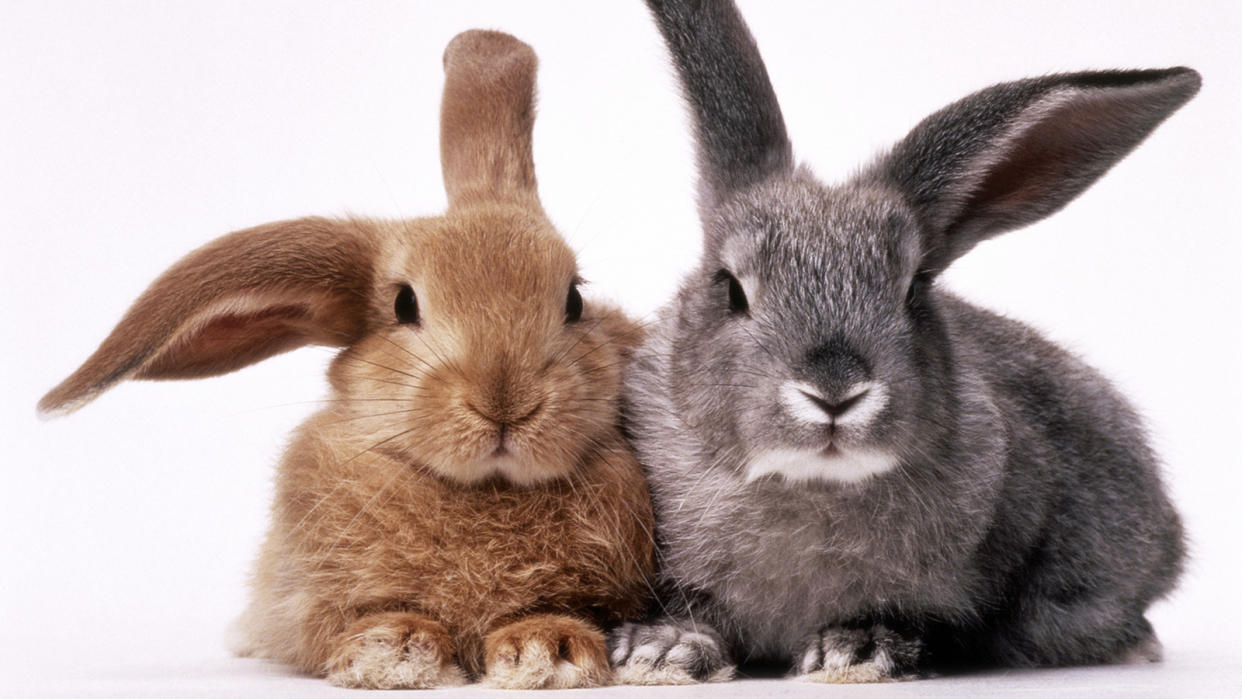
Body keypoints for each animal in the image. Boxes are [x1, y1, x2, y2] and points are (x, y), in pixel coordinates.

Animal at [37, 30, 655, 690]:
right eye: (405, 304)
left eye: (574, 300)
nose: (505, 401)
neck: (485, 491)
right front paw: (393, 648)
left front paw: (549, 648)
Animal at [608, 0, 1192, 685]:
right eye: (731, 288)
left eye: (914, 289)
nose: (834, 392)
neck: (813, 486)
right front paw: (661, 653)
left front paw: (859, 651)